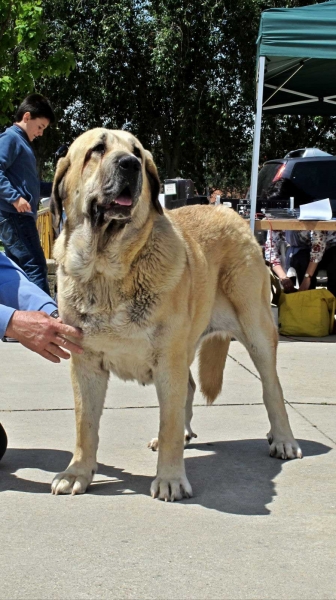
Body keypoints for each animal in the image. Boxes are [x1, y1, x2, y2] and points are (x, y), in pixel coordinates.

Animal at [50, 130, 302, 502]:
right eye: (97, 149)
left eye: (137, 153)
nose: (129, 164)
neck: (108, 270)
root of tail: (233, 215)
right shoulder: (86, 364)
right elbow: (86, 424)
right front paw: (77, 473)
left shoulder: (167, 360)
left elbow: (168, 420)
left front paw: (170, 479)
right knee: (192, 386)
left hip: (255, 329)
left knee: (272, 388)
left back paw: (283, 439)